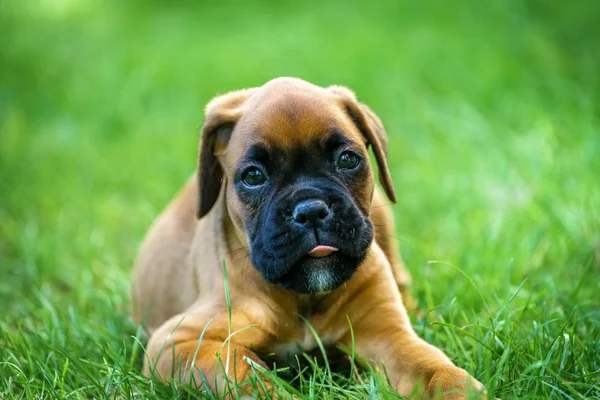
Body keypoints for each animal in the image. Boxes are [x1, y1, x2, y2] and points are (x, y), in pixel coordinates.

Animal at [130, 76, 488, 398]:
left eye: (347, 159)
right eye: (253, 176)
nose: (311, 210)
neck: (303, 299)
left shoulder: (389, 335)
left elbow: (433, 368)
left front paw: (461, 389)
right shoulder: (179, 342)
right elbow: (245, 373)